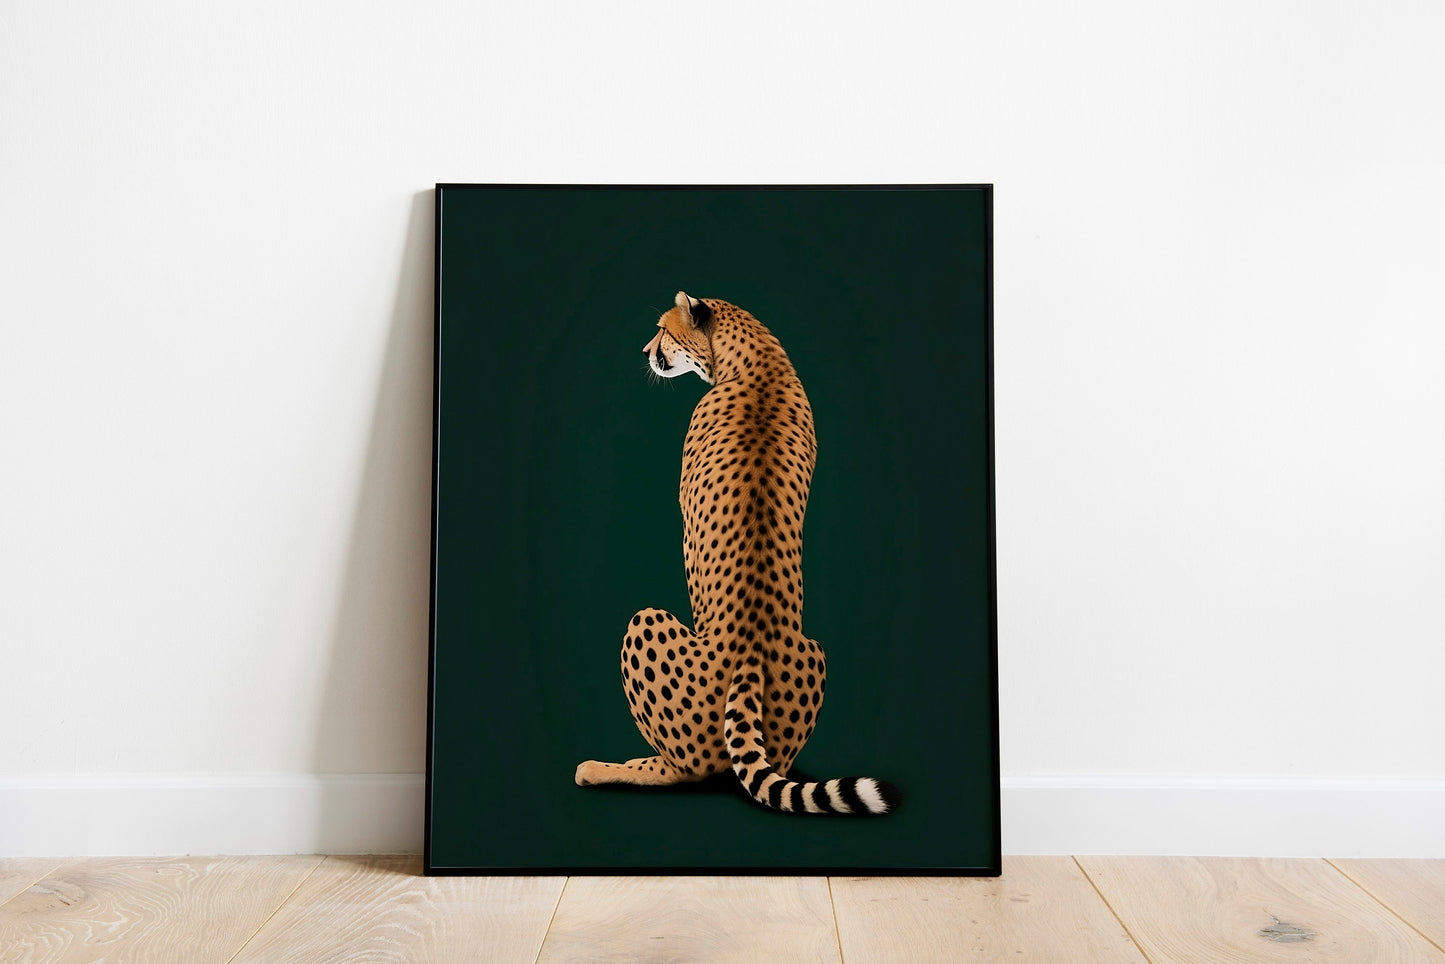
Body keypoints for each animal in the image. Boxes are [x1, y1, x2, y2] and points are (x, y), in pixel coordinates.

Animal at [574, 291, 899, 815]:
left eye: (662, 330)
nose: (645, 351)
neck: (754, 356)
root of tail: (749, 657)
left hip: (644, 623)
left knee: (684, 769)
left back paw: (604, 767)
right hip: (817, 652)